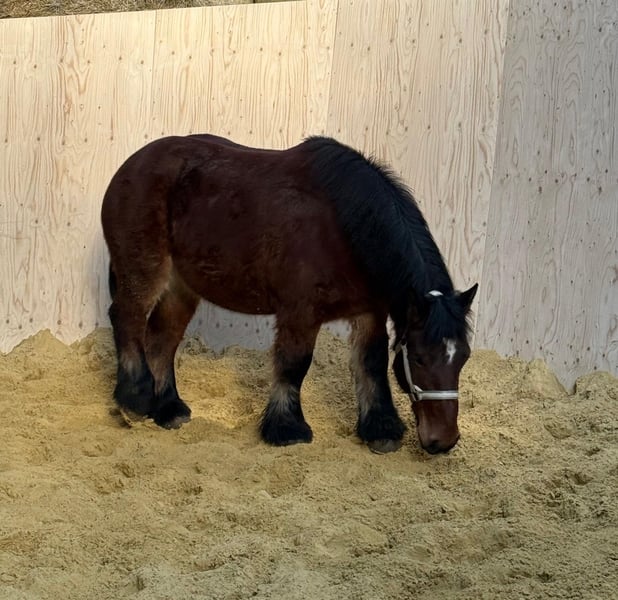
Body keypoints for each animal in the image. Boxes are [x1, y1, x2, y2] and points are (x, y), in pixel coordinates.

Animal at [101, 134, 477, 455]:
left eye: (463, 357)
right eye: (419, 358)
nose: (443, 440)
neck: (343, 227)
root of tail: (130, 165)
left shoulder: (370, 312)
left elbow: (371, 364)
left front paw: (380, 429)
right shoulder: (300, 312)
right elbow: (295, 364)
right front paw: (287, 428)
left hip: (181, 287)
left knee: (161, 339)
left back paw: (168, 408)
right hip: (145, 270)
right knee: (128, 319)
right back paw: (135, 400)